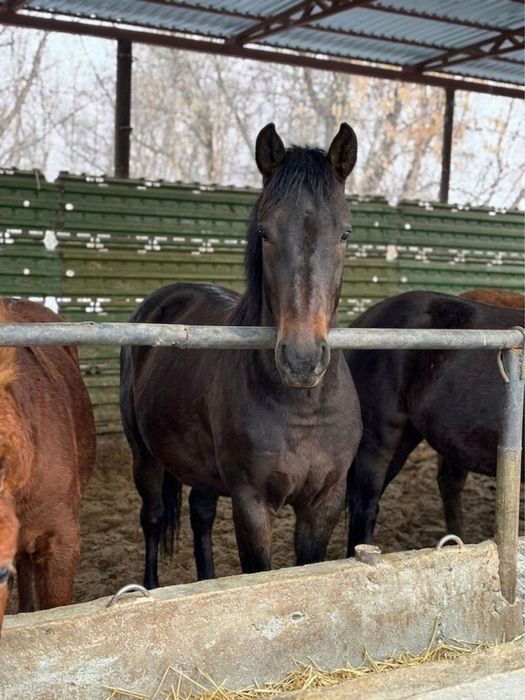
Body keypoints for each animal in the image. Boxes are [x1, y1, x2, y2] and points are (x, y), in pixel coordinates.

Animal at [120, 123, 362, 588]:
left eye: (345, 233)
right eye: (265, 232)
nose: (302, 360)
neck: (303, 406)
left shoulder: (325, 502)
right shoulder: (251, 504)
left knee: (199, 514)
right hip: (145, 457)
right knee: (154, 518)